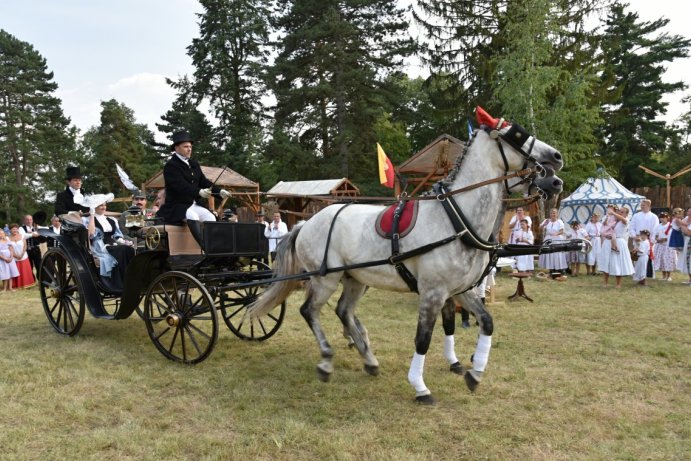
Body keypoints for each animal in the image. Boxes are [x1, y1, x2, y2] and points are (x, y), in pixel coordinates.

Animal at [249, 109, 568, 400]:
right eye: (517, 134)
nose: (557, 159)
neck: (456, 219)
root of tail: (305, 223)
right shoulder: (433, 292)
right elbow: (423, 339)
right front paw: (420, 386)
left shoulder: (460, 289)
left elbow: (486, 322)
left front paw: (475, 372)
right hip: (325, 279)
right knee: (310, 311)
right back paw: (327, 360)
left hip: (355, 279)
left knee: (344, 312)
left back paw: (369, 359)